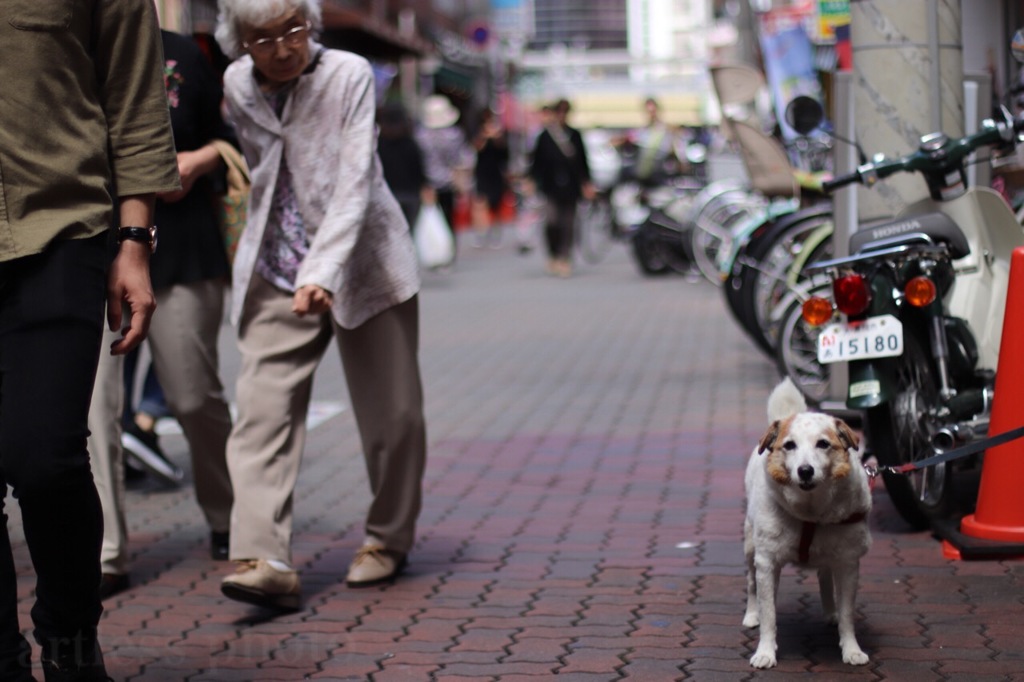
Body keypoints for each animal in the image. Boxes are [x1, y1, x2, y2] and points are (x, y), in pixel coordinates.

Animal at [745, 378, 872, 667]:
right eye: (789, 445)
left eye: (823, 444)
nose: (805, 471)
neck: (811, 514)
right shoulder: (766, 562)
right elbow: (769, 614)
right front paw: (765, 652)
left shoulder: (848, 562)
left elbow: (847, 614)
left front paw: (851, 649)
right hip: (750, 547)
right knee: (751, 583)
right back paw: (751, 615)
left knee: (825, 575)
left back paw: (830, 612)